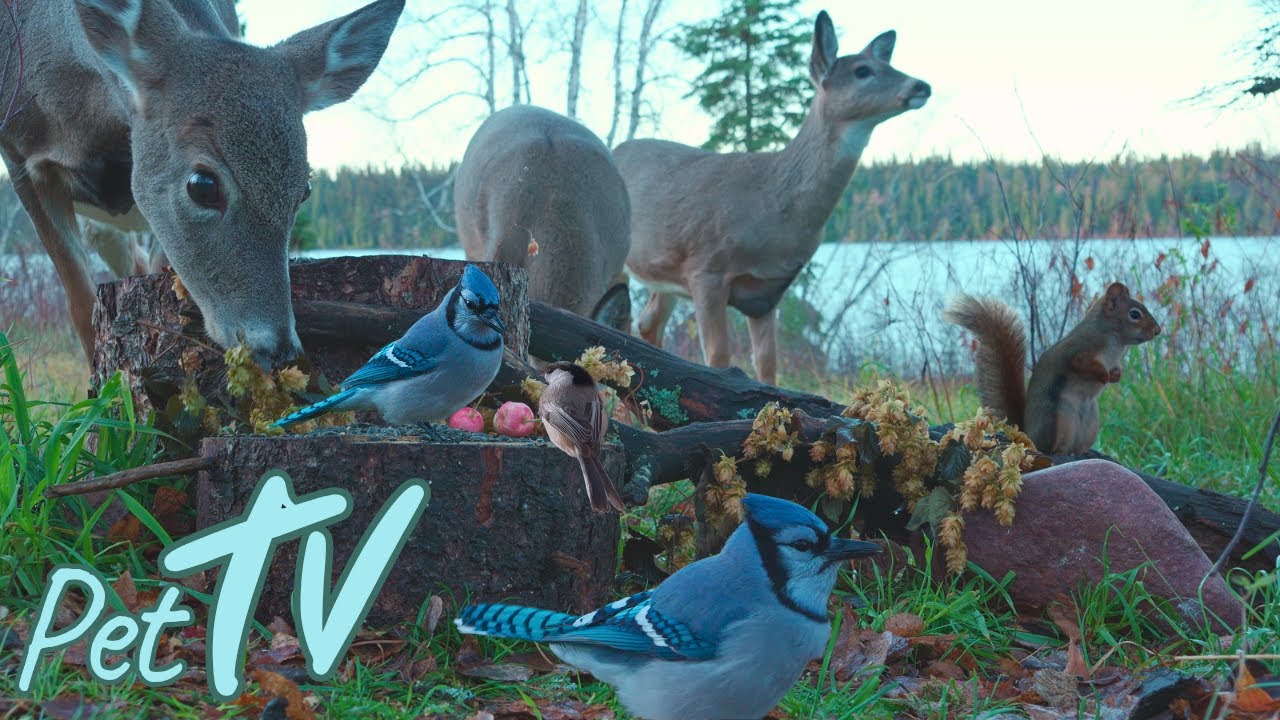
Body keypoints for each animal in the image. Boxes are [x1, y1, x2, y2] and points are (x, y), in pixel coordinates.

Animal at [612, 10, 930, 386]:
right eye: (862, 71)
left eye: (887, 63)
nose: (921, 86)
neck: (775, 207)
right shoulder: (706, 268)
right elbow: (718, 358)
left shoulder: (766, 292)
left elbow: (767, 365)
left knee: (648, 322)